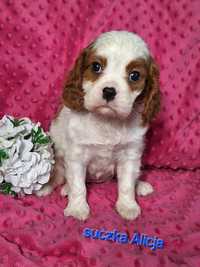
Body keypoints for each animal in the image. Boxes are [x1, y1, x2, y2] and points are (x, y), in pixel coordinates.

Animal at [36, 30, 160, 222]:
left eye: (134, 76)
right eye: (96, 67)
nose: (109, 91)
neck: (107, 120)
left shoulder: (130, 155)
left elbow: (126, 185)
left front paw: (128, 205)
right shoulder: (77, 156)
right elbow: (78, 186)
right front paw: (77, 208)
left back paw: (140, 185)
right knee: (59, 176)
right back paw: (55, 188)